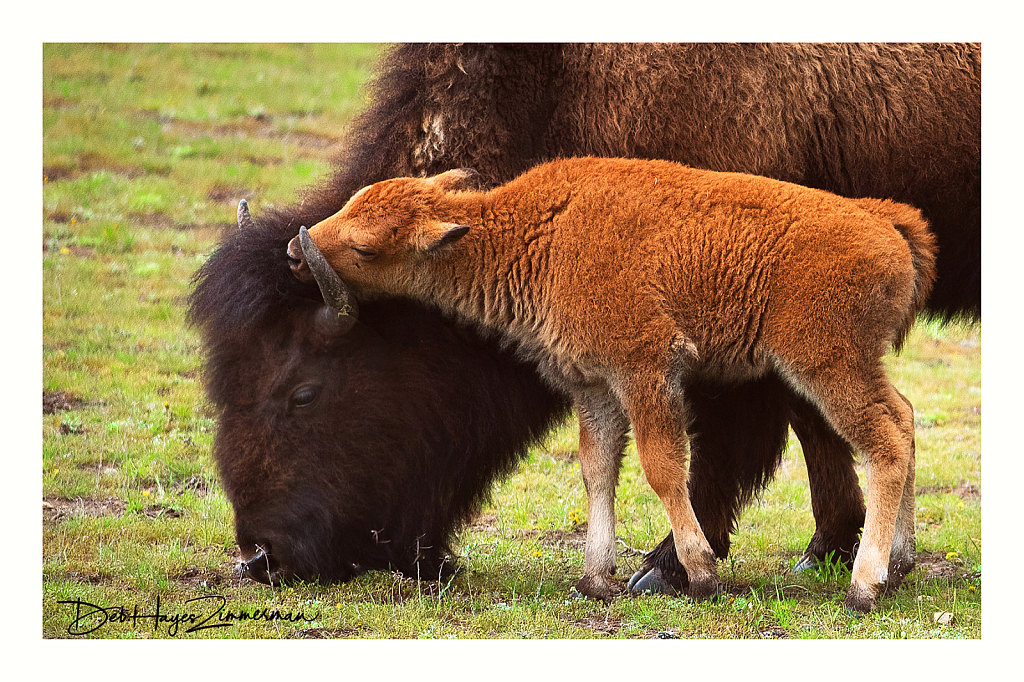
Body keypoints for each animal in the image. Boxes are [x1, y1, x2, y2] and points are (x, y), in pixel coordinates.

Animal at [284, 155, 933, 610]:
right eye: (353, 201)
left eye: (367, 248)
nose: (295, 249)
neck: (536, 232)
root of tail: (884, 221)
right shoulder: (594, 386)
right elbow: (597, 469)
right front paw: (596, 578)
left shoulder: (645, 371)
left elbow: (663, 467)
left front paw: (698, 573)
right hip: (854, 367)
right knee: (904, 418)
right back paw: (900, 565)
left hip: (828, 366)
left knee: (885, 442)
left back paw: (865, 586)